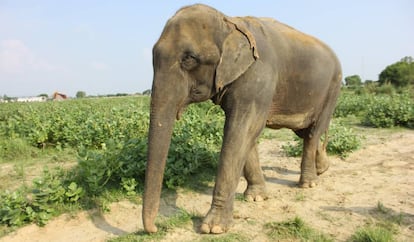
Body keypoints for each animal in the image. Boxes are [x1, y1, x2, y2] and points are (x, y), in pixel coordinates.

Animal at [143, 3, 342, 234]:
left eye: (189, 59)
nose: (155, 229)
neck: (229, 22)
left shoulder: (258, 74)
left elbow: (241, 129)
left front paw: (213, 228)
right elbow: (247, 133)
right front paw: (256, 197)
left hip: (333, 88)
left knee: (313, 132)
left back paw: (308, 183)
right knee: (306, 131)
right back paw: (322, 168)